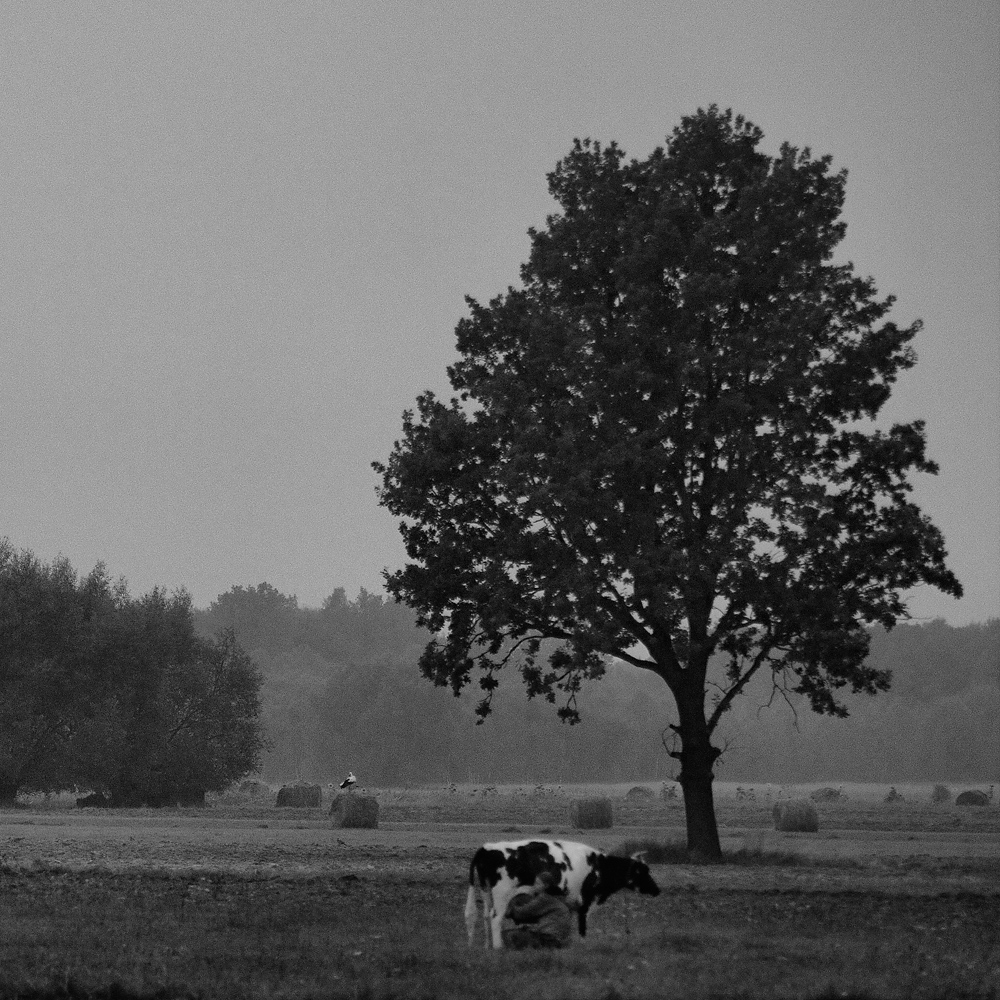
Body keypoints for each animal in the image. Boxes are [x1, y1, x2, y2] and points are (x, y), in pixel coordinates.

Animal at [464, 840, 660, 948]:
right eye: (643, 872)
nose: (657, 890)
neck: (600, 867)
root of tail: (486, 847)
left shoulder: (572, 904)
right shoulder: (586, 902)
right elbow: (582, 927)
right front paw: (582, 946)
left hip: (486, 892)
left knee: (485, 916)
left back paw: (488, 946)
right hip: (501, 894)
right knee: (495, 918)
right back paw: (498, 947)